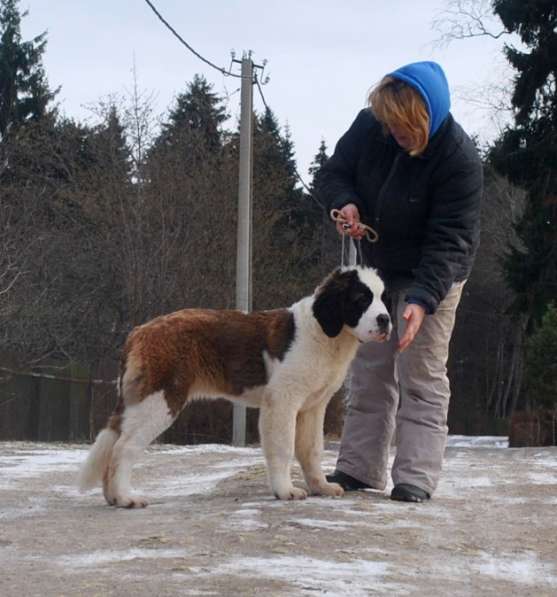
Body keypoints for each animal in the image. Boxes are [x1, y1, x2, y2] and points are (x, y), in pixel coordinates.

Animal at [78, 268, 390, 506]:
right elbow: (283, 448)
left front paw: (320, 487)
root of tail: (140, 331)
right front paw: (285, 491)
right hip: (159, 401)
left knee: (114, 446)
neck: (325, 333)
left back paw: (112, 497)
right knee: (123, 448)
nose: (385, 319)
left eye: (383, 299)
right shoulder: (282, 402)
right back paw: (125, 498)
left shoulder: (312, 408)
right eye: (360, 299)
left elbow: (311, 450)